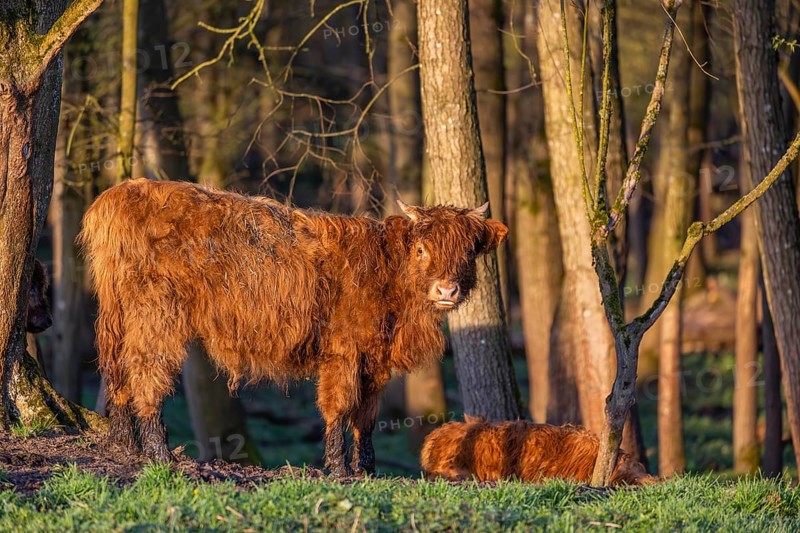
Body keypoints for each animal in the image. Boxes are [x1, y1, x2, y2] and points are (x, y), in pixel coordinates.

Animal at [79, 178, 507, 475]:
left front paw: (368, 469)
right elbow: (339, 406)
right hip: (156, 314)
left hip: (119, 314)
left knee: (117, 372)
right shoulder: (343, 352)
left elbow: (367, 415)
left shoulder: (375, 360)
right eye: (421, 250)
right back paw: (159, 453)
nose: (447, 289)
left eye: (467, 253)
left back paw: (125, 444)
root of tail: (122, 192)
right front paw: (339, 468)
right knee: (146, 371)